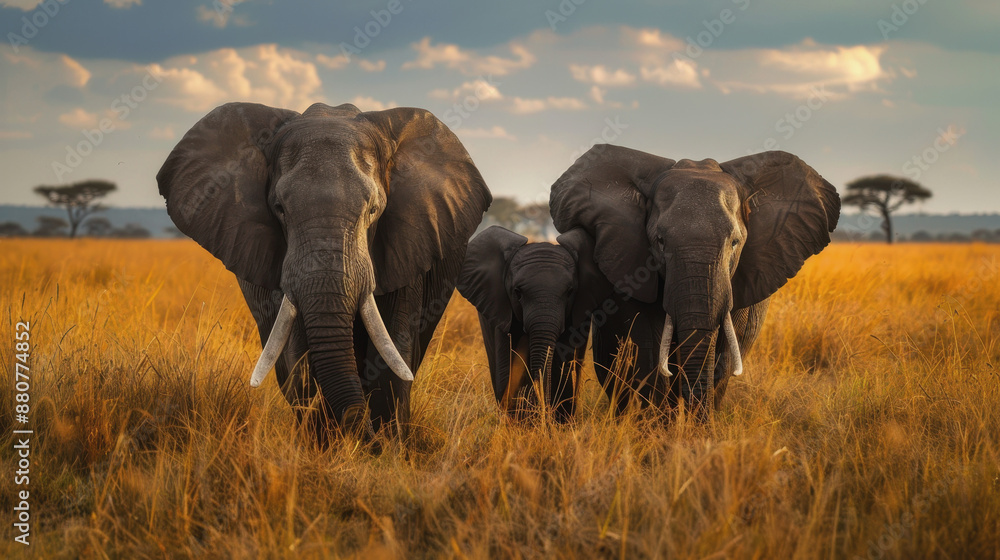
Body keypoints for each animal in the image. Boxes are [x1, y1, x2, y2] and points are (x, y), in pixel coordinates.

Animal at [157, 101, 492, 442]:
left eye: (374, 210)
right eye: (279, 208)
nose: (357, 421)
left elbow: (391, 351)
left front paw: (386, 447)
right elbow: (298, 359)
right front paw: (326, 442)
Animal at [457, 226, 611, 421]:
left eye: (570, 292)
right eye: (517, 292)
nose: (542, 412)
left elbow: (562, 362)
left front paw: (556, 422)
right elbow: (506, 361)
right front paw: (518, 420)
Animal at [549, 145, 840, 418]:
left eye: (735, 242)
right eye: (660, 241)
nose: (701, 429)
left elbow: (723, 357)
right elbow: (650, 352)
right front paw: (661, 430)